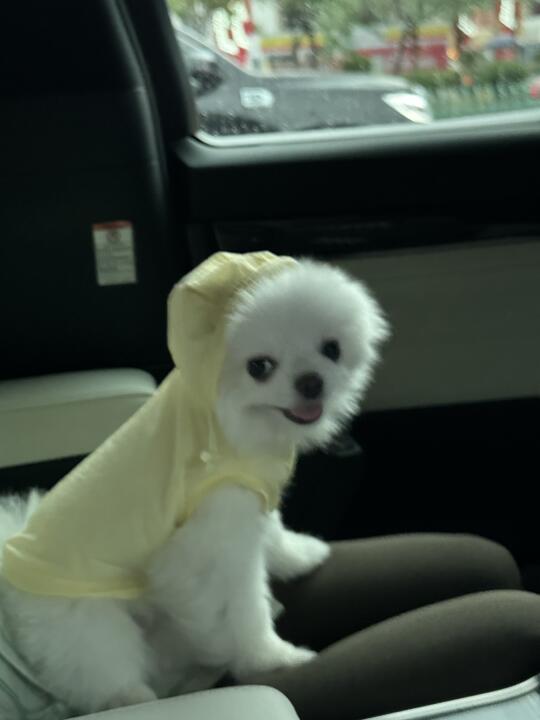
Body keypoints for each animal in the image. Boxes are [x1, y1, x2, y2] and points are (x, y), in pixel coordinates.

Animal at [0, 254, 389, 715]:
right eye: (259, 367)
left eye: (331, 348)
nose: (311, 381)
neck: (232, 425)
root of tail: (13, 563)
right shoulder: (206, 544)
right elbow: (242, 607)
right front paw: (267, 656)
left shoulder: (250, 496)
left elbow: (273, 535)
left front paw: (299, 555)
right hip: (87, 622)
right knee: (102, 672)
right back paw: (135, 697)